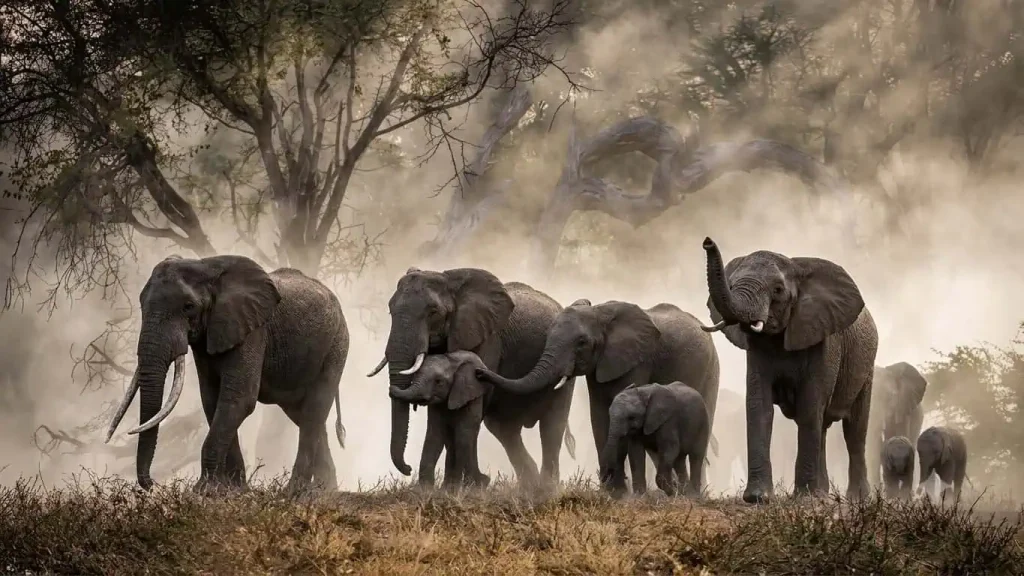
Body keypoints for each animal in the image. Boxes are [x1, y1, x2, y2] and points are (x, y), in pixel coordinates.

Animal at [105, 255, 349, 493]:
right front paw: (235, 490)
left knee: (314, 410)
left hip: (336, 346)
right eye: (141, 304)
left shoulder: (252, 330)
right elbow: (212, 400)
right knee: (306, 416)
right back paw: (325, 492)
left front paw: (202, 491)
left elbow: (239, 399)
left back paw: (295, 494)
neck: (206, 266)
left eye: (188, 306)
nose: (151, 485)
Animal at [368, 268, 575, 489]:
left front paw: (460, 488)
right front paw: (449, 489)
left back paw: (547, 488)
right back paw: (530, 485)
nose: (408, 469)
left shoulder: (487, 339)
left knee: (552, 426)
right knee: (504, 429)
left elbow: (467, 412)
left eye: (433, 312)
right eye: (390, 310)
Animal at [476, 299, 720, 495]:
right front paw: (614, 492)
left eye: (582, 342)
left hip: (712, 372)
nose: (479, 372)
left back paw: (695, 493)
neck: (600, 313)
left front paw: (619, 491)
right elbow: (600, 415)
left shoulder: (637, 360)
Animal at [700, 236, 879, 503]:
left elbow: (809, 405)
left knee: (854, 430)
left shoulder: (824, 341)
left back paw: (856, 499)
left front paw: (804, 500)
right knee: (822, 427)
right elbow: (759, 406)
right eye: (731, 285)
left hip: (866, 366)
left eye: (778, 290)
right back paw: (822, 495)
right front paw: (758, 498)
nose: (707, 242)